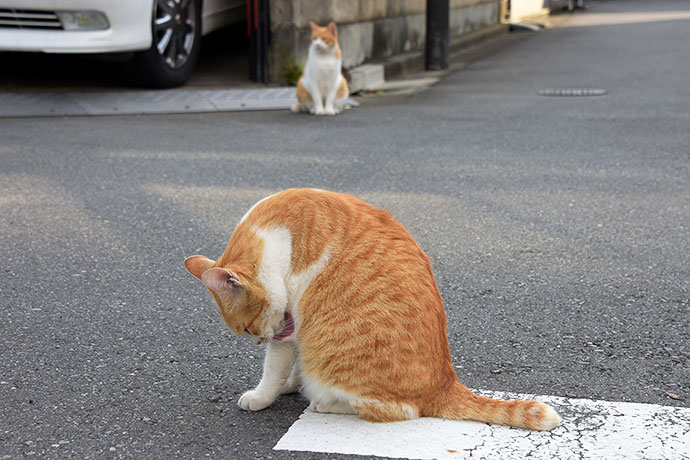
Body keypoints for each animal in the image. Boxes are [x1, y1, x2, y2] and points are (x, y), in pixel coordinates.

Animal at [185, 188, 560, 432]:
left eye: (248, 330)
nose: (259, 340)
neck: (276, 238)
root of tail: (445, 383)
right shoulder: (291, 329)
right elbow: (288, 367)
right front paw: (291, 383)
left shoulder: (287, 328)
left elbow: (273, 370)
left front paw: (261, 396)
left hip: (336, 364)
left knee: (397, 411)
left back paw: (325, 403)